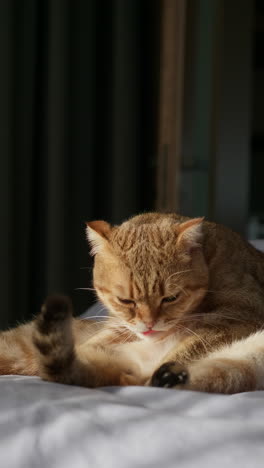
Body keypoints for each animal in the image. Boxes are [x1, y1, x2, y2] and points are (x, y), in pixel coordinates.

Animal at [0, 213, 264, 394]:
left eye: (171, 298)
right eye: (125, 300)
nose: (149, 324)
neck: (211, 260)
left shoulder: (238, 316)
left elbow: (187, 348)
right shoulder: (118, 326)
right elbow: (97, 341)